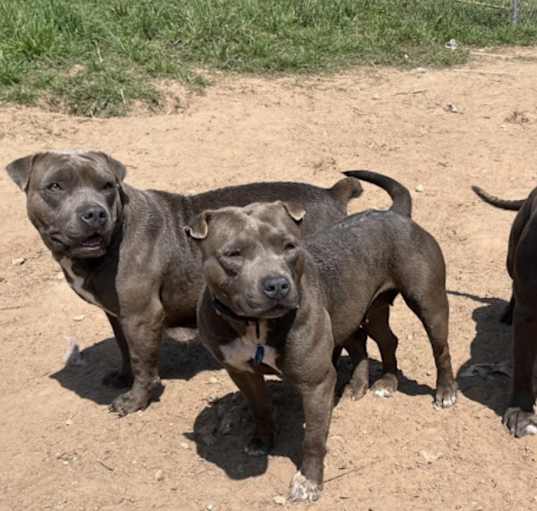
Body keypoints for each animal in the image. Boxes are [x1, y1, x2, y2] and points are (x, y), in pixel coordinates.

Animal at [5, 150, 360, 418]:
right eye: (55, 186)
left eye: (106, 185)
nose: (94, 213)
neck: (116, 235)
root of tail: (331, 192)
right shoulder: (118, 315)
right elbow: (124, 349)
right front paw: (122, 377)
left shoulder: (141, 316)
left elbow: (143, 362)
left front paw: (135, 400)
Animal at [188, 171, 456, 504]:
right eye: (233, 254)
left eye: (289, 246)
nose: (277, 285)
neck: (256, 326)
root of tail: (395, 214)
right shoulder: (241, 372)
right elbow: (260, 408)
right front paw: (262, 440)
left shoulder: (316, 383)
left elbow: (313, 439)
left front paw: (309, 482)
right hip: (362, 309)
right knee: (380, 341)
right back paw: (378, 382)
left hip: (429, 303)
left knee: (440, 349)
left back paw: (445, 392)